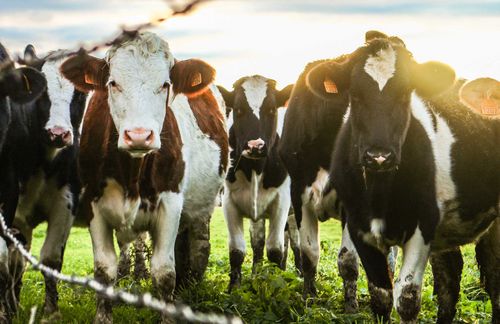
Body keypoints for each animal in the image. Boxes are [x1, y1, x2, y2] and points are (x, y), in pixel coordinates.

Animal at [60, 31, 229, 324]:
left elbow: (164, 272)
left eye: (165, 84)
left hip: (203, 204)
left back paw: (191, 287)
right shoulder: (94, 205)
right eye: (113, 83)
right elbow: (104, 270)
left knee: (199, 245)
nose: (139, 135)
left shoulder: (171, 203)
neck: (132, 174)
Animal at [216, 76, 296, 292]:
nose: (255, 146)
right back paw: (256, 275)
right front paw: (234, 288)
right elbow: (237, 250)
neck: (255, 168)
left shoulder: (282, 202)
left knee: (295, 245)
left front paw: (275, 284)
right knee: (259, 243)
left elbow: (275, 249)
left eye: (272, 109)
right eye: (238, 110)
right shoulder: (228, 202)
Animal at [306, 31, 498, 322]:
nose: (379, 156)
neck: (380, 192)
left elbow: (407, 298)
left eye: (406, 93)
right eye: (355, 95)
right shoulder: (359, 226)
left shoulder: (422, 226)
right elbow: (381, 295)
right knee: (450, 276)